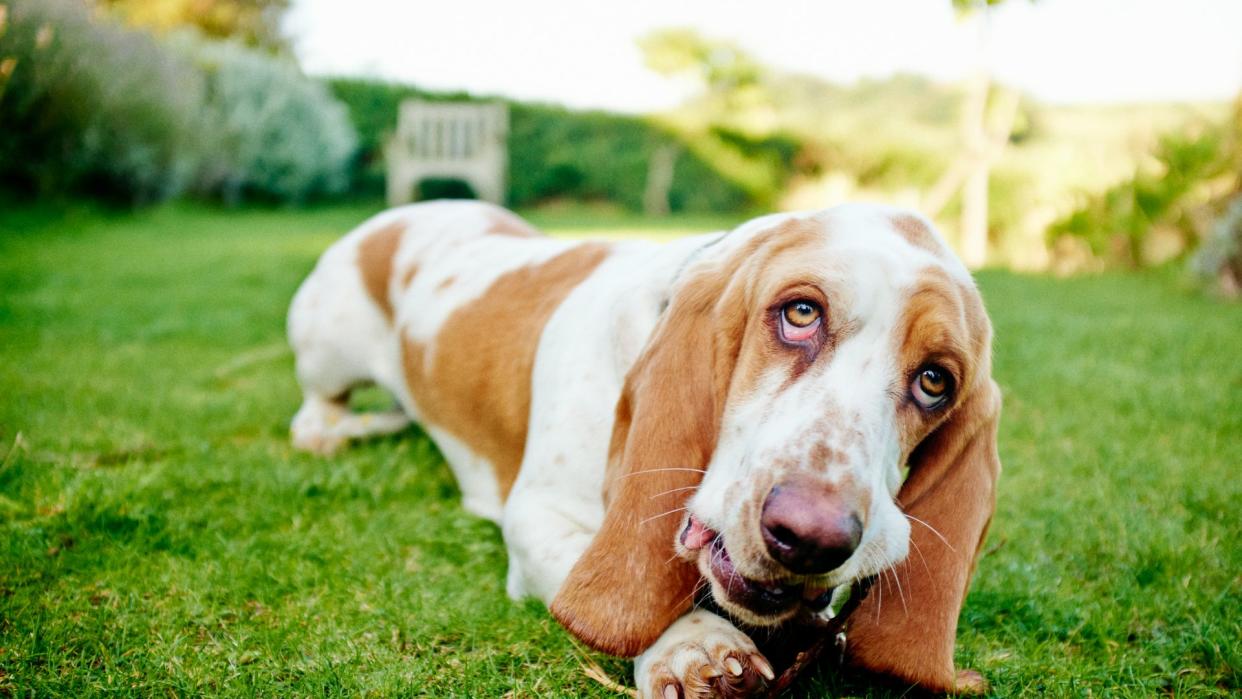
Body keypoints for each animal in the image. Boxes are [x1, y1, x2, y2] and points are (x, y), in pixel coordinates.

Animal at [288, 199, 998, 695]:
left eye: (935, 381)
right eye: (800, 313)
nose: (812, 536)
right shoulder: (537, 517)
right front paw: (694, 647)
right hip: (324, 348)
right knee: (315, 414)